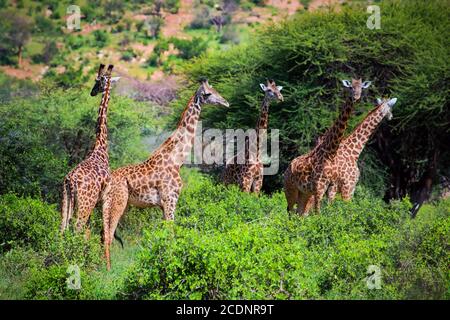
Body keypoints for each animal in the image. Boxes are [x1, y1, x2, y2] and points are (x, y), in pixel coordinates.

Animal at [60, 64, 119, 235]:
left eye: (98, 82)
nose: (92, 92)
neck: (100, 146)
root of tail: (71, 181)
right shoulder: (105, 196)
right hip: (86, 203)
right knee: (77, 228)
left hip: (66, 199)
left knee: (62, 228)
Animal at [102, 79, 229, 268]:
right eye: (209, 94)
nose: (226, 102)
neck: (176, 160)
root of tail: (108, 181)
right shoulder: (171, 199)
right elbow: (170, 232)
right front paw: (170, 262)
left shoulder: (163, 204)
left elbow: (165, 232)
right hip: (118, 202)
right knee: (108, 235)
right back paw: (109, 270)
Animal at [284, 77, 370, 215]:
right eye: (350, 87)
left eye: (361, 88)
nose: (356, 97)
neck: (330, 152)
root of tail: (287, 168)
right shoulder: (319, 187)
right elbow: (318, 213)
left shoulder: (331, 186)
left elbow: (328, 212)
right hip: (290, 189)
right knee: (290, 211)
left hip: (304, 193)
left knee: (300, 212)